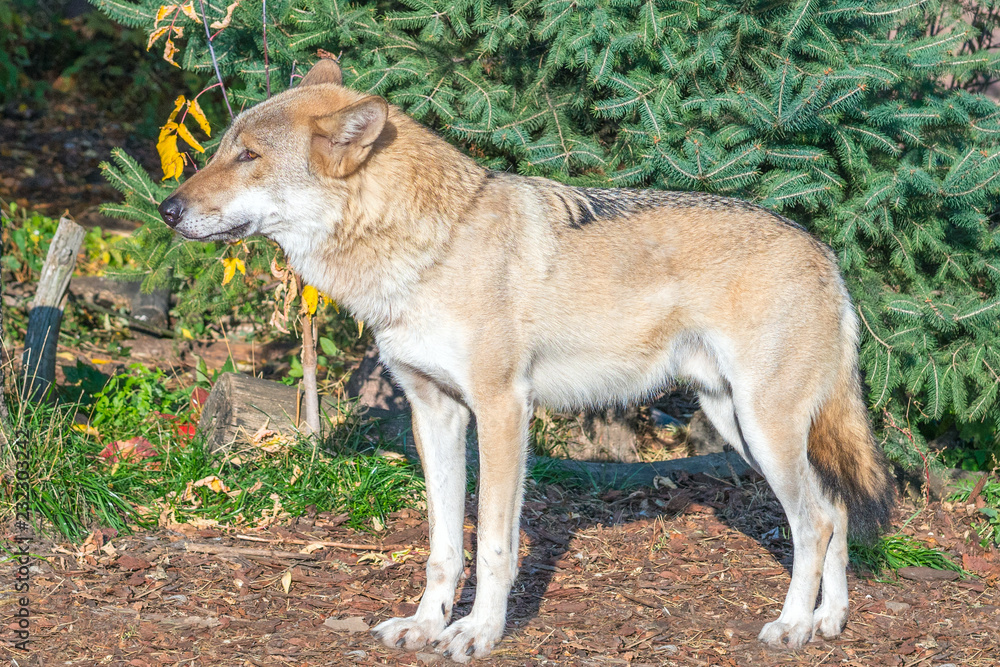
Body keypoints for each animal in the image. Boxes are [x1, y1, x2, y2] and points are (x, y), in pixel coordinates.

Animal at [158, 58, 895, 662]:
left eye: (247, 156)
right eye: (222, 149)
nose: (165, 208)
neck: (434, 247)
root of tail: (825, 253)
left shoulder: (503, 410)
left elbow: (493, 544)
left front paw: (478, 633)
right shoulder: (434, 413)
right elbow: (443, 546)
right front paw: (426, 626)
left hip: (762, 428)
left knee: (815, 522)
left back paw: (793, 625)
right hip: (738, 423)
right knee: (836, 512)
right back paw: (830, 622)